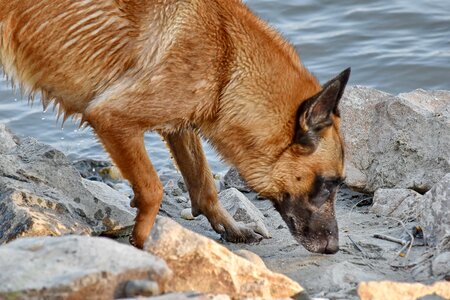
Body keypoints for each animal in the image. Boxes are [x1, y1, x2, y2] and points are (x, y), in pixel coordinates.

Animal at [0, 0, 348, 253]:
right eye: (329, 183)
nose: (333, 248)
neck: (228, 63)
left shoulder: (180, 126)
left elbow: (203, 183)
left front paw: (230, 227)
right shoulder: (113, 119)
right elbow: (153, 189)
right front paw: (142, 246)